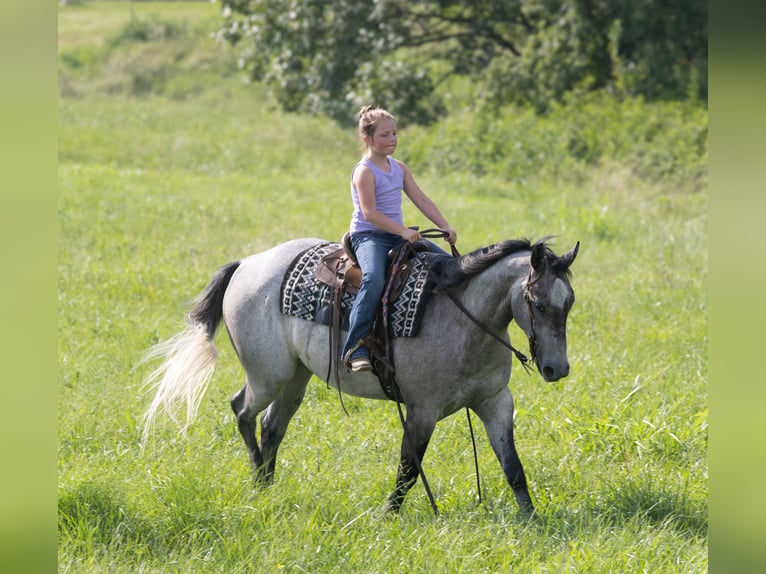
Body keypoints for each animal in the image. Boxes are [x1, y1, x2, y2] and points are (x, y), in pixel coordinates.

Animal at [142, 236, 579, 513]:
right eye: (538, 303)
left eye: (569, 302)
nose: (557, 369)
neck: (463, 318)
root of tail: (247, 264)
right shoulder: (421, 411)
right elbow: (408, 469)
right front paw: (389, 515)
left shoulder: (495, 403)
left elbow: (513, 467)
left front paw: (531, 517)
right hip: (269, 376)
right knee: (243, 412)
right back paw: (258, 480)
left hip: (296, 379)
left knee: (271, 425)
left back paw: (266, 485)